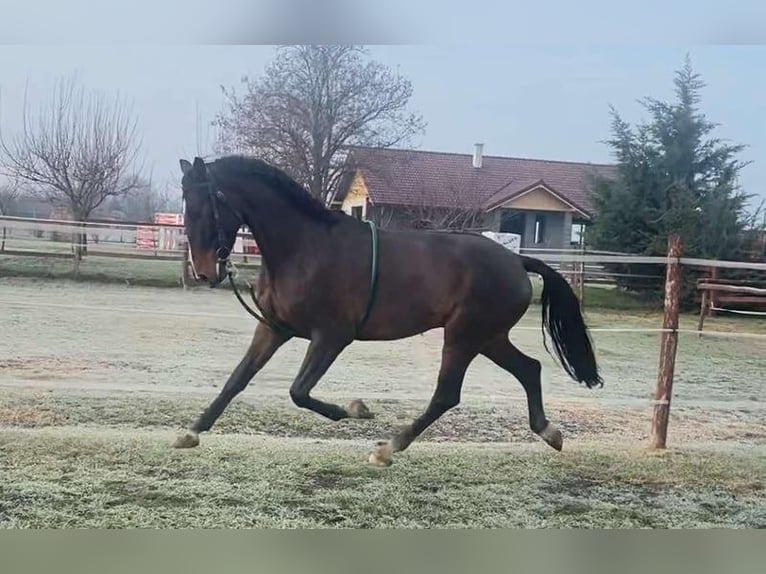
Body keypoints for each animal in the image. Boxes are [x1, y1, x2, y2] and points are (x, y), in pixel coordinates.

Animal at [175, 155, 602, 466]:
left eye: (205, 206)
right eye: (186, 205)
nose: (204, 271)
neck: (305, 248)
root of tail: (517, 261)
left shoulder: (331, 337)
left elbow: (299, 391)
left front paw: (356, 409)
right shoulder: (273, 328)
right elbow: (236, 380)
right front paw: (192, 431)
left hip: (464, 336)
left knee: (446, 395)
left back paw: (388, 448)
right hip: (489, 338)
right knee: (530, 369)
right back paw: (549, 432)